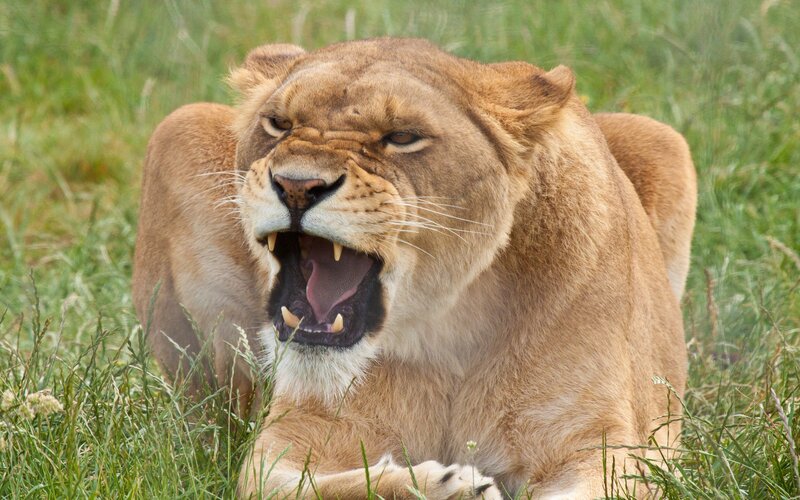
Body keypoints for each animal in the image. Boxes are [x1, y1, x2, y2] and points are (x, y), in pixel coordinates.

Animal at [132, 38, 696, 498]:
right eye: (279, 124)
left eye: (402, 137)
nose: (296, 185)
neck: (450, 325)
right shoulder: (297, 433)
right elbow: (303, 486)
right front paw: (448, 486)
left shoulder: (592, 444)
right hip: (178, 128)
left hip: (662, 139)